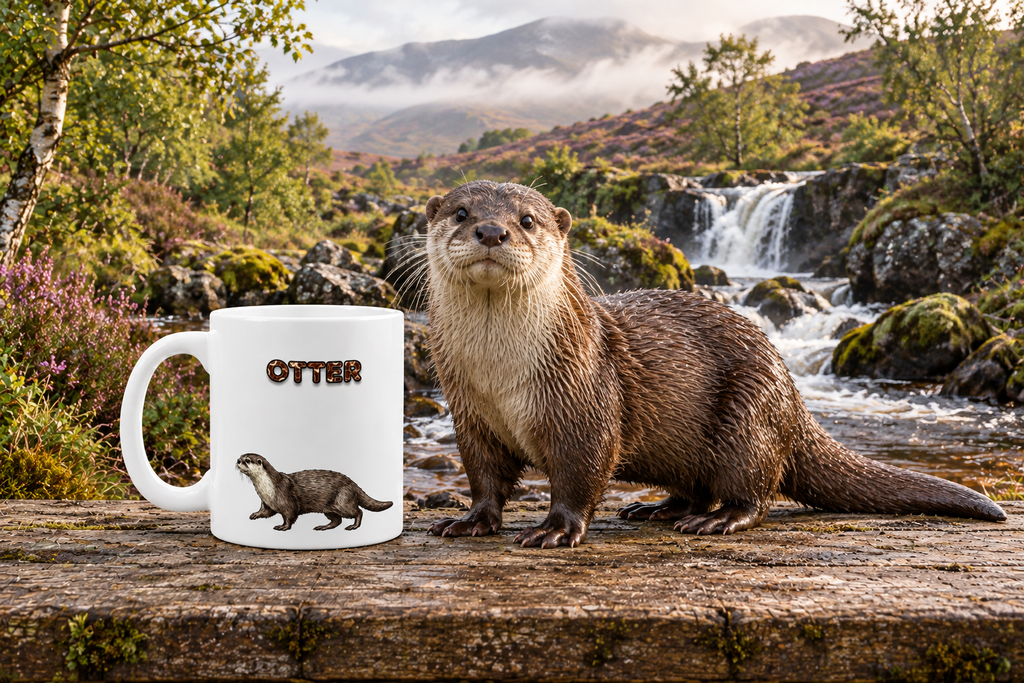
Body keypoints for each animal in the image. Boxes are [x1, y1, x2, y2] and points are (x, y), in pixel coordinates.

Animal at [236, 453, 392, 531]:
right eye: (240, 457)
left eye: (247, 460)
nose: (237, 460)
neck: (268, 489)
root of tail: (353, 484)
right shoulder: (266, 502)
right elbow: (266, 512)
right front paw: (255, 514)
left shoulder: (286, 498)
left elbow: (290, 515)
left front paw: (283, 527)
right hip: (329, 508)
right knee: (336, 520)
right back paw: (323, 527)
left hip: (342, 500)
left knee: (358, 511)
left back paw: (353, 526)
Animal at [420, 180, 1006, 549]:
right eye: (462, 212)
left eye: (527, 220)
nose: (492, 231)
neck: (500, 376)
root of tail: (792, 396)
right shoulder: (469, 414)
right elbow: (484, 478)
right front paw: (470, 522)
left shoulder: (585, 402)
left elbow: (580, 474)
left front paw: (555, 530)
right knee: (697, 485)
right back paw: (658, 509)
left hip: (748, 412)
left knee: (756, 490)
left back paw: (716, 520)